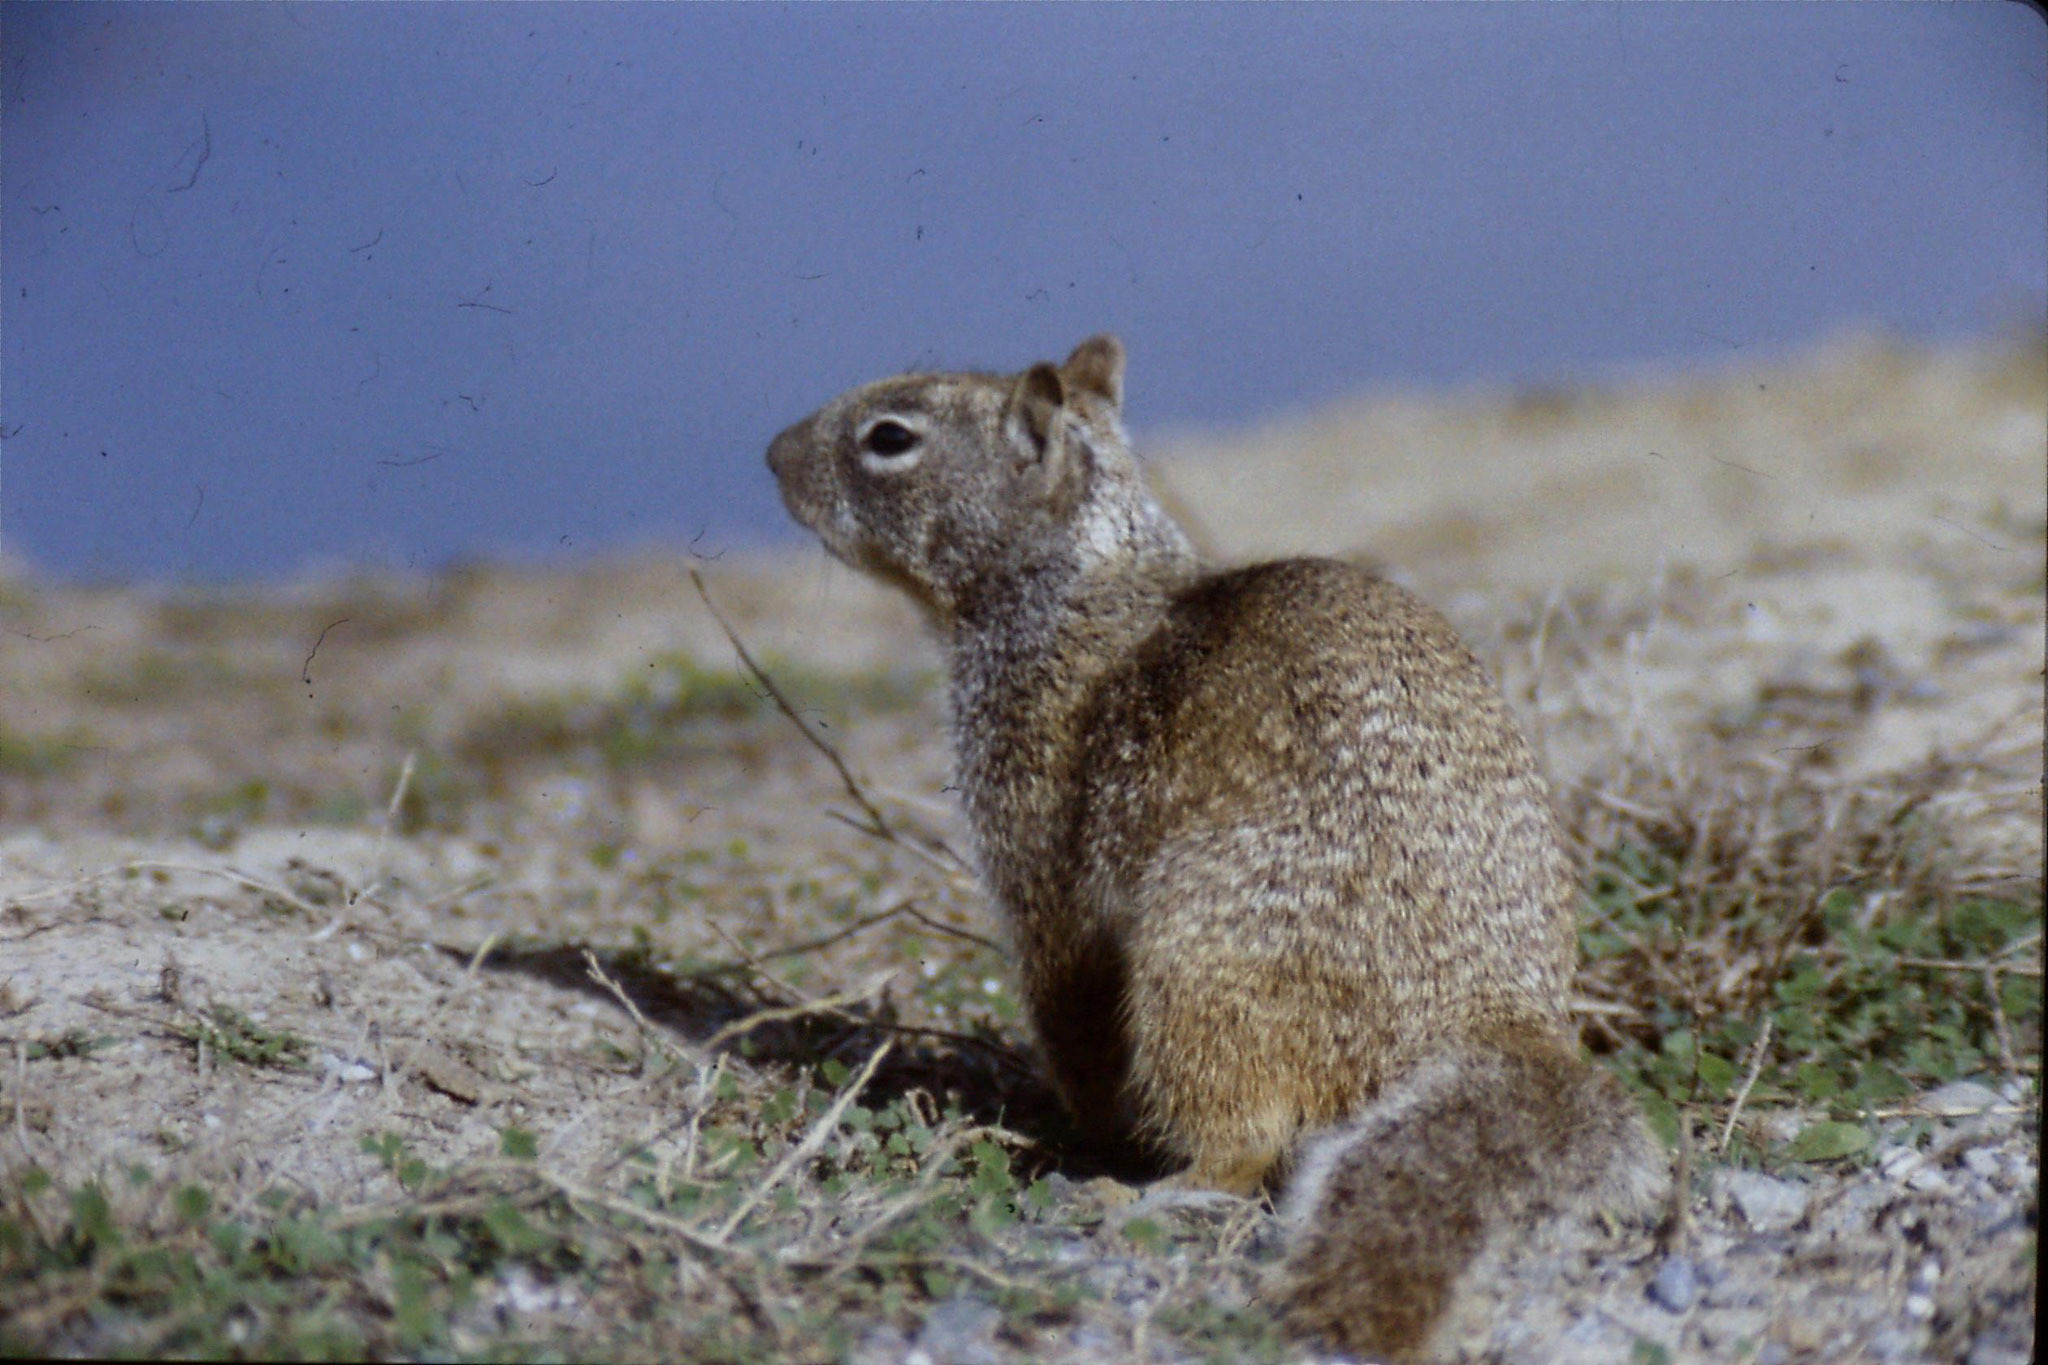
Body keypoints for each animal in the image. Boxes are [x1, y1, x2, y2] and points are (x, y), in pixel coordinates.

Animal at [765, 339, 1662, 1358]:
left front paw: (1082, 1125)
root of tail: (1491, 1017)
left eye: (890, 437)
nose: (772, 454)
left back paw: (1145, 1189)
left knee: (1247, 1142)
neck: (1078, 586)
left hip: (1194, 964)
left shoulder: (1033, 831)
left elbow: (1064, 996)